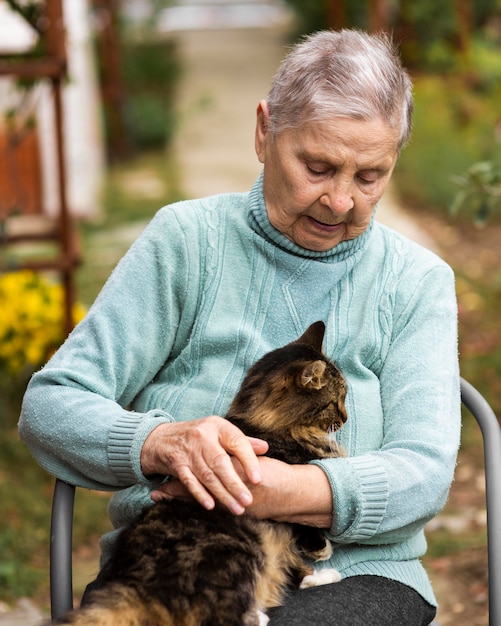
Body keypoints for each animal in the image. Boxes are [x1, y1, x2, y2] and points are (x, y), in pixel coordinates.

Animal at [52, 322, 346, 624]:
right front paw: (321, 549)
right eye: (336, 401)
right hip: (241, 549)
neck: (265, 425)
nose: (345, 418)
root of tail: (136, 586)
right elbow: (302, 525)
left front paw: (317, 572)